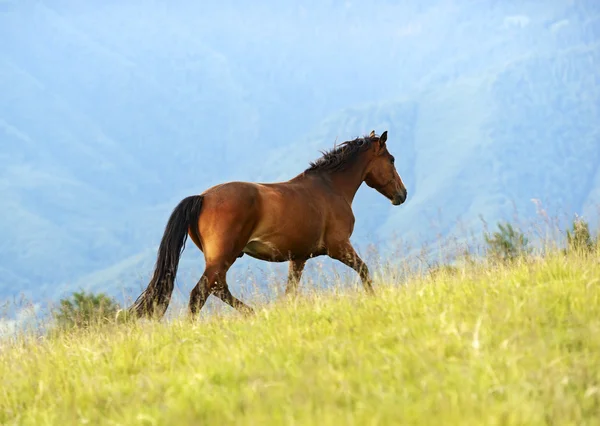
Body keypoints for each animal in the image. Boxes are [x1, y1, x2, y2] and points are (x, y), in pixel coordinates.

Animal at [126, 131, 408, 320]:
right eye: (392, 159)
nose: (402, 195)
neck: (330, 188)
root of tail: (203, 198)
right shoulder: (339, 247)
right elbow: (364, 270)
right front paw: (374, 299)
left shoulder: (299, 258)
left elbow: (290, 292)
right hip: (222, 258)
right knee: (200, 294)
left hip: (224, 259)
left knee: (218, 289)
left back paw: (253, 313)